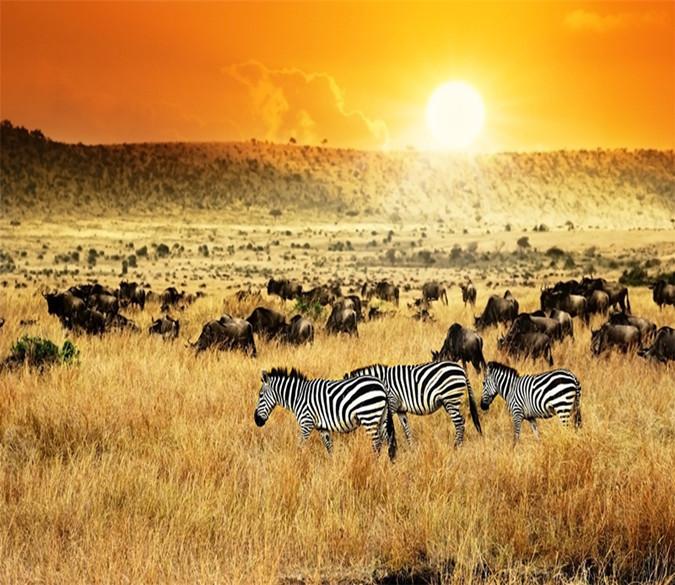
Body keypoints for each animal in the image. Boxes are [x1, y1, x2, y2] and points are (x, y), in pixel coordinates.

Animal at [254, 367, 397, 460]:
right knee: (388, 440)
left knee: (377, 443)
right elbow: (329, 448)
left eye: (260, 396)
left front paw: (297, 462)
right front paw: (331, 466)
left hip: (369, 416)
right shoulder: (322, 428)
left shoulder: (306, 423)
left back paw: (374, 464)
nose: (256, 420)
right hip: (381, 417)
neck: (298, 396)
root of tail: (381, 384)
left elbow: (300, 445)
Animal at [345, 361, 481, 447]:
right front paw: (411, 448)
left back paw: (456, 446)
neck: (381, 383)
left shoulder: (391, 403)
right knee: (461, 420)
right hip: (449, 401)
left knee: (459, 423)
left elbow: (384, 429)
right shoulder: (400, 409)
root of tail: (461, 369)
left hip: (450, 399)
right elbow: (406, 429)